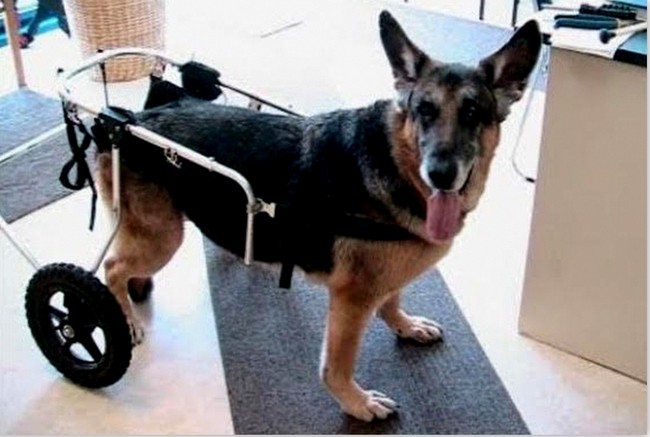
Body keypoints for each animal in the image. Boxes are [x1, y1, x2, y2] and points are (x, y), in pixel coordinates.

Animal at [96, 11, 541, 422]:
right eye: (425, 111)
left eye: (472, 113)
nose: (441, 175)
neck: (397, 163)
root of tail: (131, 120)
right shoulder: (350, 299)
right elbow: (336, 366)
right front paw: (357, 404)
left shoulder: (382, 280)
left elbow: (392, 299)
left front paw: (405, 324)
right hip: (162, 238)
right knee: (112, 267)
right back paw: (125, 319)